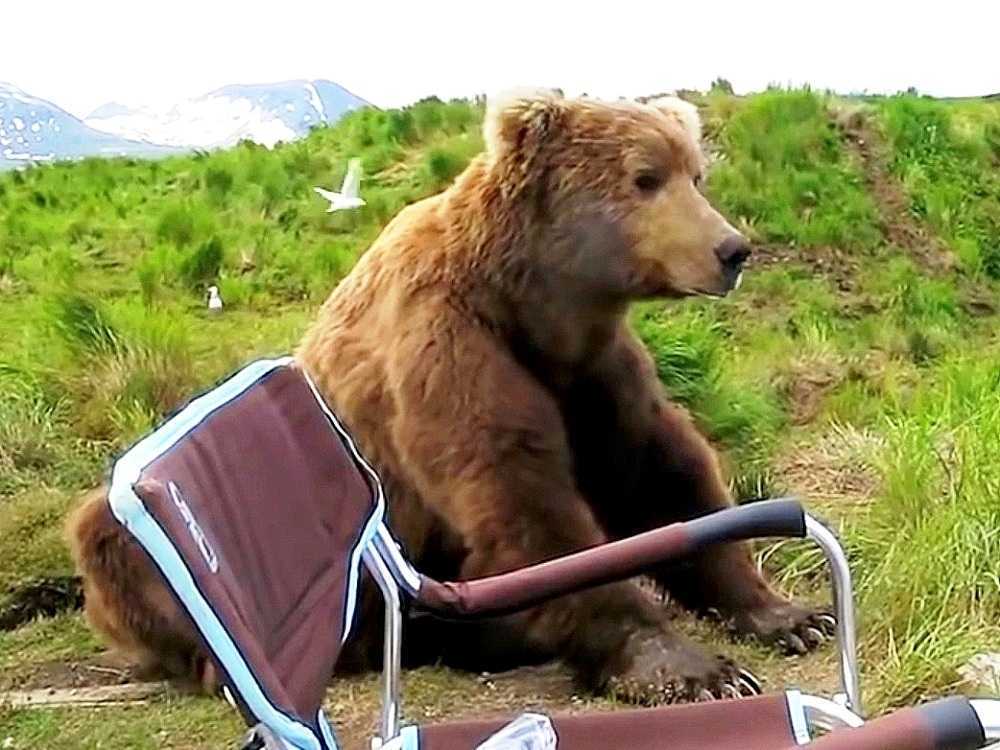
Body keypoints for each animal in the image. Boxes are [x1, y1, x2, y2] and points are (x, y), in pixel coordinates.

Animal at [67, 89, 833, 705]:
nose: (731, 249)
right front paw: (687, 666)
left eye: (694, 173)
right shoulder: (449, 345)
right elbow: (523, 499)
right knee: (111, 540)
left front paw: (791, 615)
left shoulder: (590, 368)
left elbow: (661, 473)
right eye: (645, 178)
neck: (531, 301)